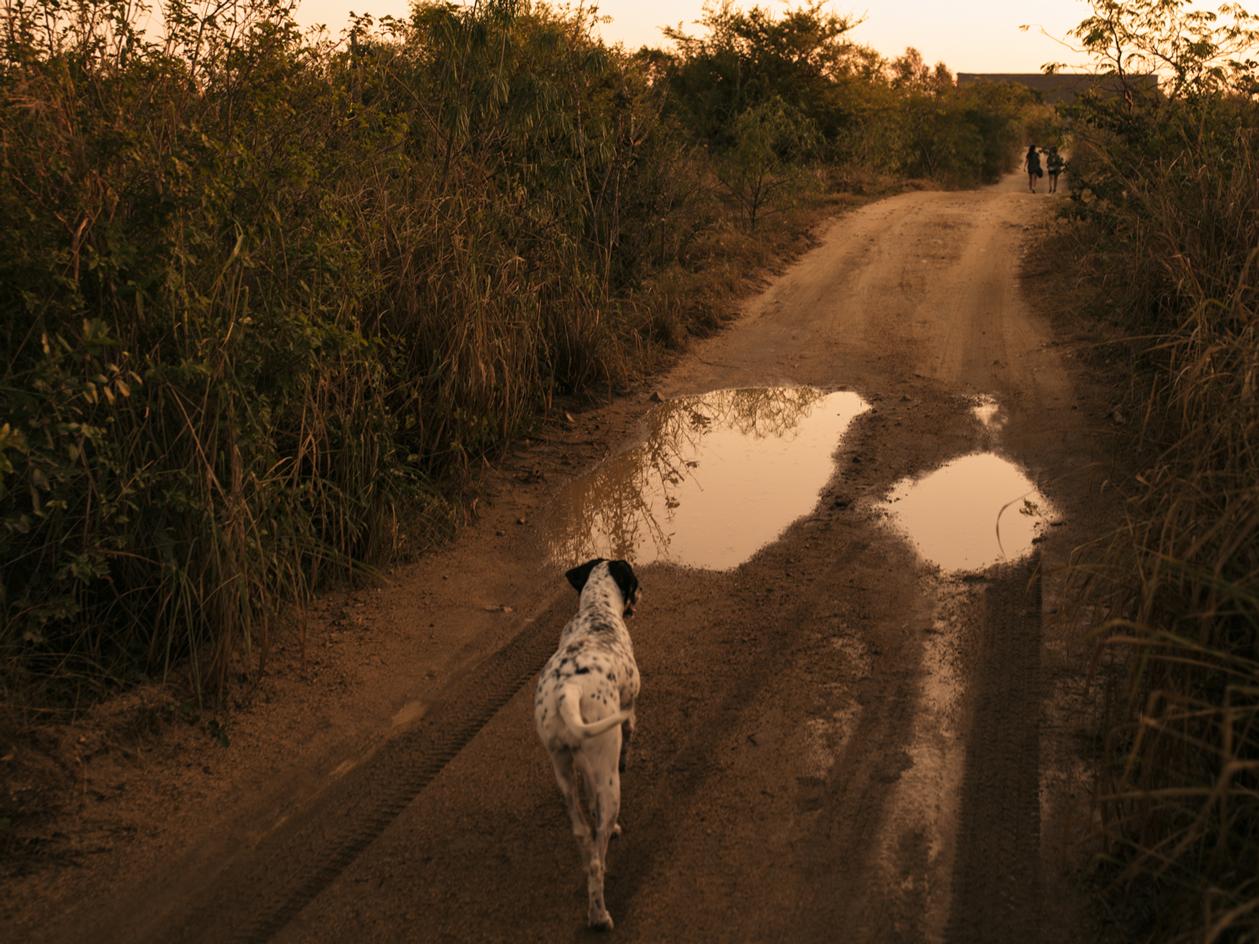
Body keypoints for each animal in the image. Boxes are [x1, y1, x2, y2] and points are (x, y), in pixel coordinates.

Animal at [536, 558, 644, 936]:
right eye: (634, 581)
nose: (643, 592)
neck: (596, 613)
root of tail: (567, 690)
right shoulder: (628, 713)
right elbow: (629, 736)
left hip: (564, 770)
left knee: (586, 834)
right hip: (609, 779)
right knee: (598, 858)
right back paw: (599, 915)